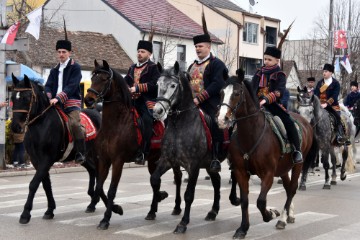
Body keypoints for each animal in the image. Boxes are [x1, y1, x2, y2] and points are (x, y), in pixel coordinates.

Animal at [85, 59, 183, 230]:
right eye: (92, 78)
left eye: (104, 79)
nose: (88, 100)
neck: (115, 124)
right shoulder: (103, 160)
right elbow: (99, 187)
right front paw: (116, 209)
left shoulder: (118, 161)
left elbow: (111, 190)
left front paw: (106, 219)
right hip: (152, 160)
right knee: (156, 182)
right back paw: (153, 209)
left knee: (177, 177)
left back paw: (176, 207)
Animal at [149, 62, 239, 234]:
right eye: (158, 84)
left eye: (173, 85)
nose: (157, 111)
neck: (180, 124)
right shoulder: (167, 160)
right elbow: (154, 179)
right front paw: (156, 204)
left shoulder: (193, 166)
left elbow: (189, 194)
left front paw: (183, 223)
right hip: (210, 166)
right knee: (217, 182)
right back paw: (213, 211)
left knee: (235, 175)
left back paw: (235, 199)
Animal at [217, 76, 316, 239]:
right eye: (221, 92)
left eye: (236, 93)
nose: (221, 119)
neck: (251, 133)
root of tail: (305, 122)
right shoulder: (240, 172)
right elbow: (245, 201)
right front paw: (243, 228)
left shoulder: (268, 173)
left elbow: (261, 201)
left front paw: (270, 214)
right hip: (283, 169)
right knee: (288, 188)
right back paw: (289, 215)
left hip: (298, 165)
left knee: (292, 189)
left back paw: (282, 219)